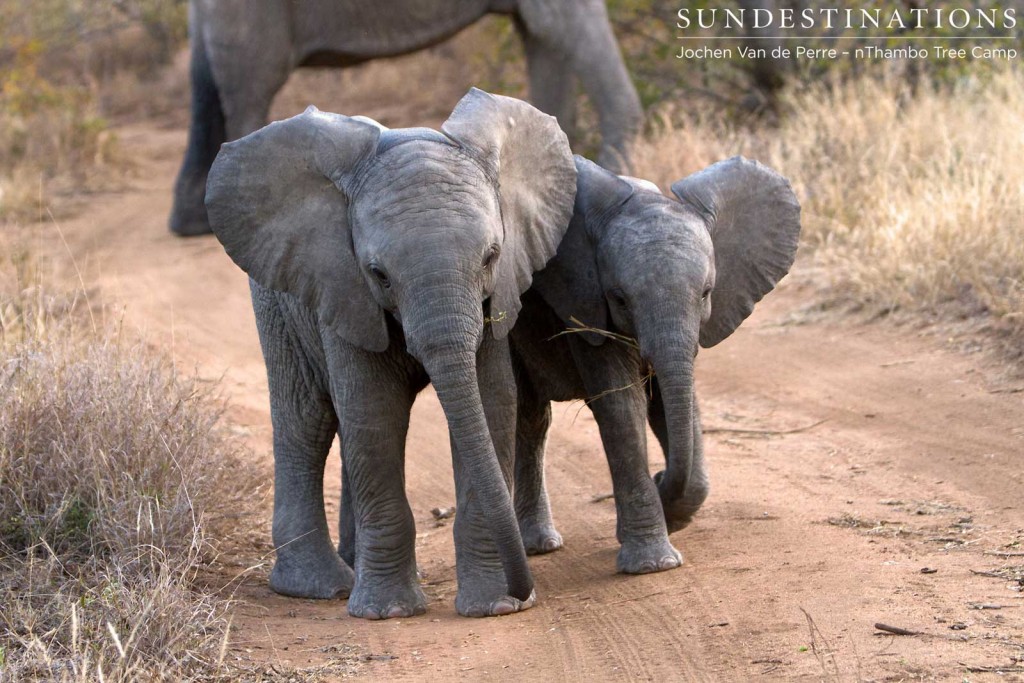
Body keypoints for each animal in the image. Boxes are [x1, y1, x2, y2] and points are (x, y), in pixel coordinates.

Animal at [175, 0, 638, 235]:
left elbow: (542, 37)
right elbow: (559, 24)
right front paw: (619, 174)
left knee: (206, 88)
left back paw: (192, 224)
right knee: (249, 92)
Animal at [203, 89, 581, 618]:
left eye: (491, 256)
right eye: (378, 273)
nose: (524, 591)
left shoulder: (498, 296)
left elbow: (491, 403)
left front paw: (494, 607)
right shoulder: (343, 288)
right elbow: (374, 413)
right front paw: (389, 612)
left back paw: (351, 565)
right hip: (278, 298)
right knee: (307, 420)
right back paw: (321, 586)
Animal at [512, 153, 798, 573]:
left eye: (706, 293)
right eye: (619, 299)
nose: (661, 475)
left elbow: (672, 402)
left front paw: (672, 515)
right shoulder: (584, 304)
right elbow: (622, 408)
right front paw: (653, 564)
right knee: (527, 415)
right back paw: (537, 546)